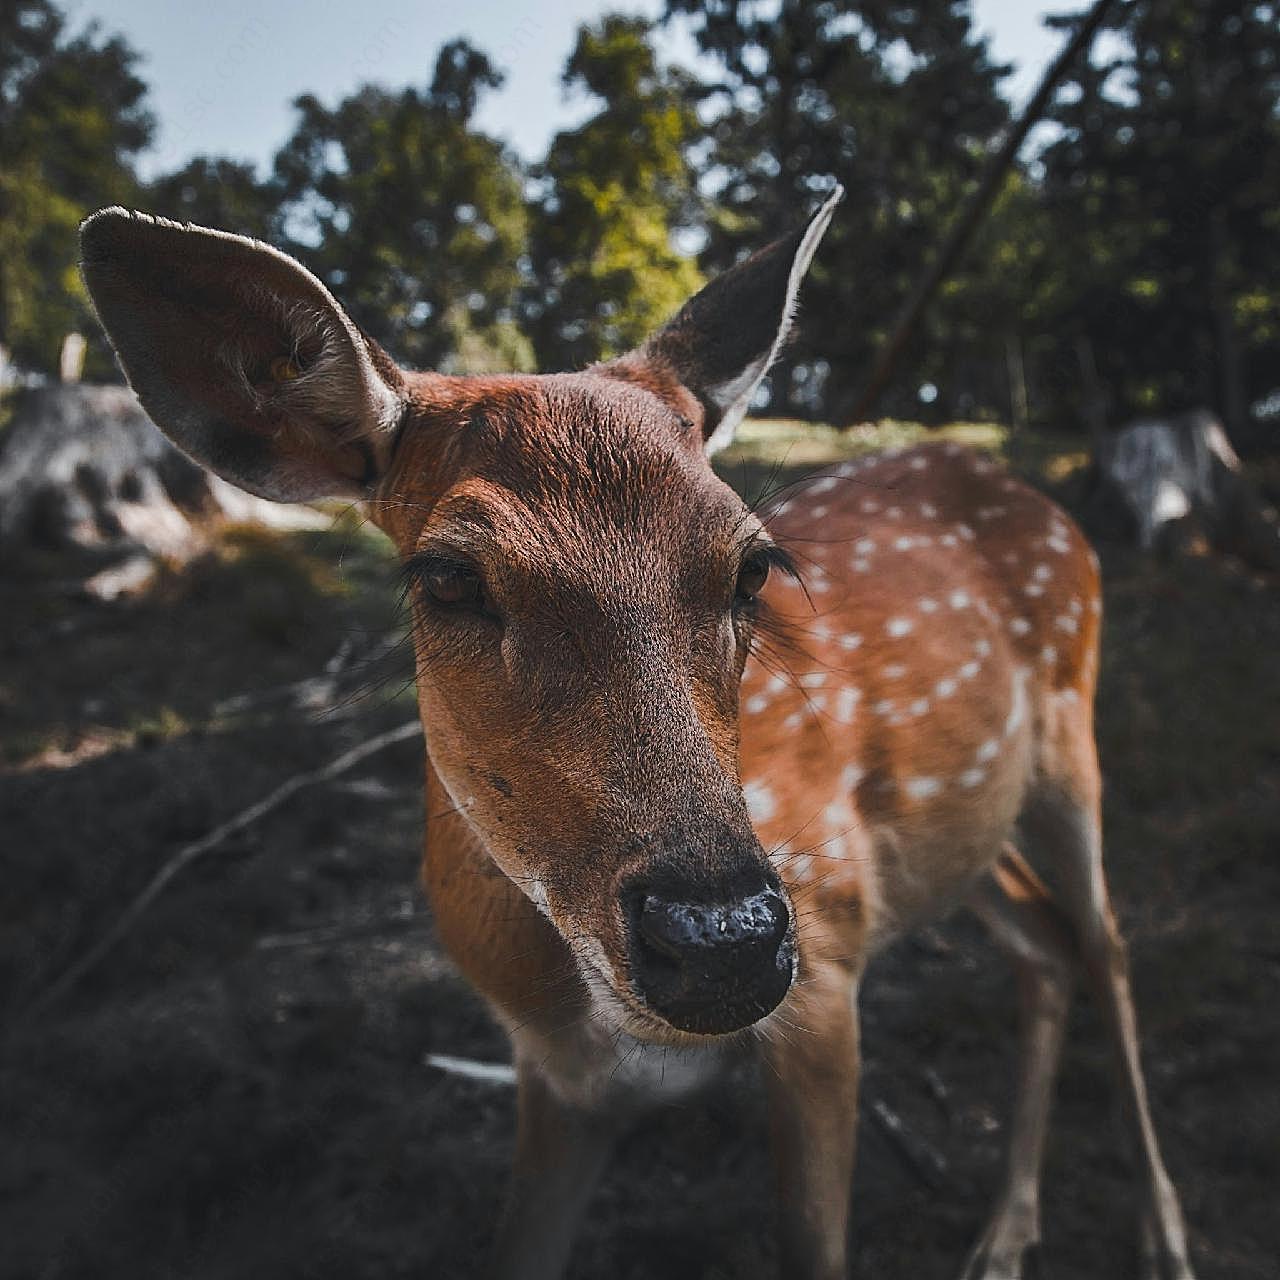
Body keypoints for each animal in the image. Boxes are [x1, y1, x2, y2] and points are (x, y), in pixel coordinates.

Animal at [82, 189, 1198, 1280]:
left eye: (754, 564)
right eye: (447, 576)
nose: (723, 944)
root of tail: (1028, 491)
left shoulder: (827, 971)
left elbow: (813, 1241)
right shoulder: (557, 1076)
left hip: (1067, 737)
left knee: (1105, 942)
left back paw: (1162, 1234)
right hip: (960, 828)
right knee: (1044, 944)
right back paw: (1004, 1236)